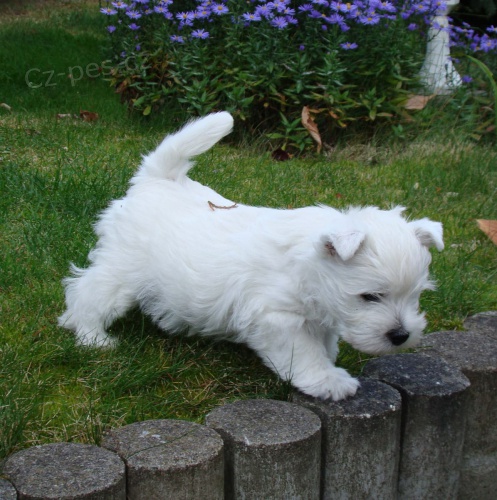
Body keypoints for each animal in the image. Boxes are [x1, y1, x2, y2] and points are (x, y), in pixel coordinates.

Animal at [60, 111, 444, 400]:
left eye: (416, 296)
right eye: (370, 296)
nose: (401, 336)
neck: (306, 269)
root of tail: (157, 181)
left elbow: (325, 341)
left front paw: (331, 360)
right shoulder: (279, 319)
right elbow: (306, 355)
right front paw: (329, 380)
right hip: (122, 270)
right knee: (88, 293)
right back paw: (92, 337)